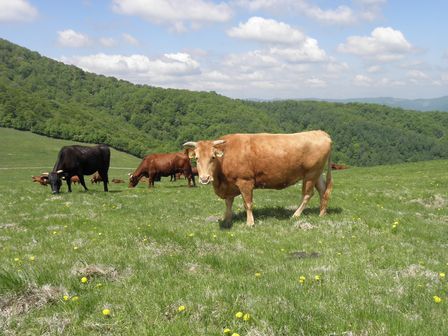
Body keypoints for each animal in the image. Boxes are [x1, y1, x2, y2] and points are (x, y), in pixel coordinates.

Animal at [184, 130, 334, 227]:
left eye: (213, 157)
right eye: (196, 158)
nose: (204, 178)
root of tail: (321, 133)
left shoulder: (245, 181)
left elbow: (248, 204)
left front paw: (250, 223)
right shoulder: (229, 186)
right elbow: (228, 203)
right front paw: (227, 220)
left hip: (311, 174)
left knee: (308, 194)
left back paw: (295, 215)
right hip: (317, 173)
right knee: (323, 191)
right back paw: (322, 213)